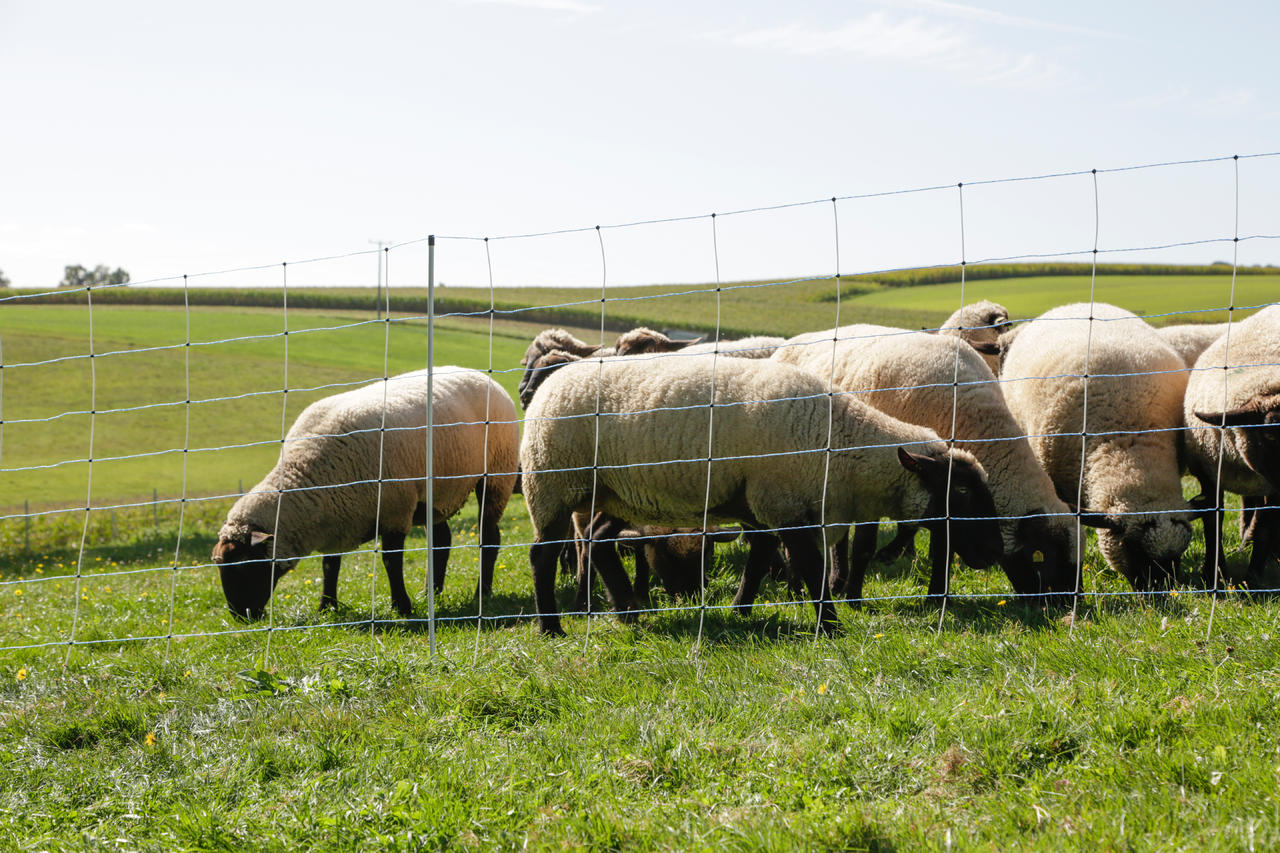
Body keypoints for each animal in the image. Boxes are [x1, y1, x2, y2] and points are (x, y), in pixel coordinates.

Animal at [212, 366, 517, 617]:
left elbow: (391, 562)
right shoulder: (337, 518)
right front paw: (326, 607)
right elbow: (329, 565)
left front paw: (402, 607)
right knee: (442, 541)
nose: (239, 616)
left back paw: (481, 593)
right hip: (435, 493)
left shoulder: (395, 511)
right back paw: (432, 593)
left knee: (489, 537)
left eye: (243, 566)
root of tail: (482, 375)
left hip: (496, 474)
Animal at [514, 350, 1003, 630]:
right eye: (961, 493)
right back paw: (552, 627)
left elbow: (761, 560)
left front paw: (740, 610)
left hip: (621, 492)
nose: (993, 553)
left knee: (597, 538)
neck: (845, 446)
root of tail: (551, 383)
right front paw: (830, 625)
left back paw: (628, 612)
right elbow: (810, 569)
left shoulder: (767, 504)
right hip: (552, 483)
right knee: (542, 555)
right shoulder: (782, 501)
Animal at [768, 322, 1080, 601]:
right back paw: (828, 583)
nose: (1064, 608)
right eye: (1043, 555)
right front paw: (855, 593)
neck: (973, 419)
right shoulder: (878, 477)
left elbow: (943, 547)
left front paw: (936, 597)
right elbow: (866, 545)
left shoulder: (943, 495)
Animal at [1177, 302, 1280, 581]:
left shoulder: (1272, 486)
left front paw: (1253, 576)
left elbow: (1266, 526)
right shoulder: (1208, 472)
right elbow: (1213, 517)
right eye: (1270, 433)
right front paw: (1215, 572)